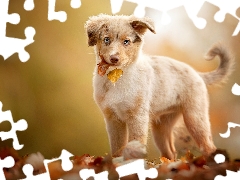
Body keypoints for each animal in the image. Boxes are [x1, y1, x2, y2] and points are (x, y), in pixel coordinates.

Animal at [84, 14, 234, 160]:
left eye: (126, 41)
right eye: (106, 40)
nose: (114, 59)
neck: (117, 77)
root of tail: (197, 74)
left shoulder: (137, 117)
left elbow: (134, 145)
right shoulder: (113, 119)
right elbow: (117, 149)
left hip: (195, 118)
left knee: (209, 147)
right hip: (162, 126)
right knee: (171, 153)